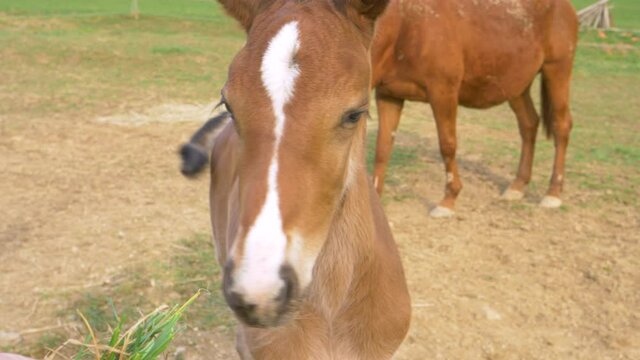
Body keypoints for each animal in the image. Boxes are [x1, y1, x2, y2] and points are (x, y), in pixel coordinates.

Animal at [370, 0, 580, 217]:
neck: (406, 23)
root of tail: (566, 7)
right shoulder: (388, 96)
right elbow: (382, 148)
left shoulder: (443, 93)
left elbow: (447, 145)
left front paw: (449, 200)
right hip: (516, 86)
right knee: (529, 124)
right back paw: (517, 186)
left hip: (557, 69)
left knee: (561, 125)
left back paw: (553, 193)